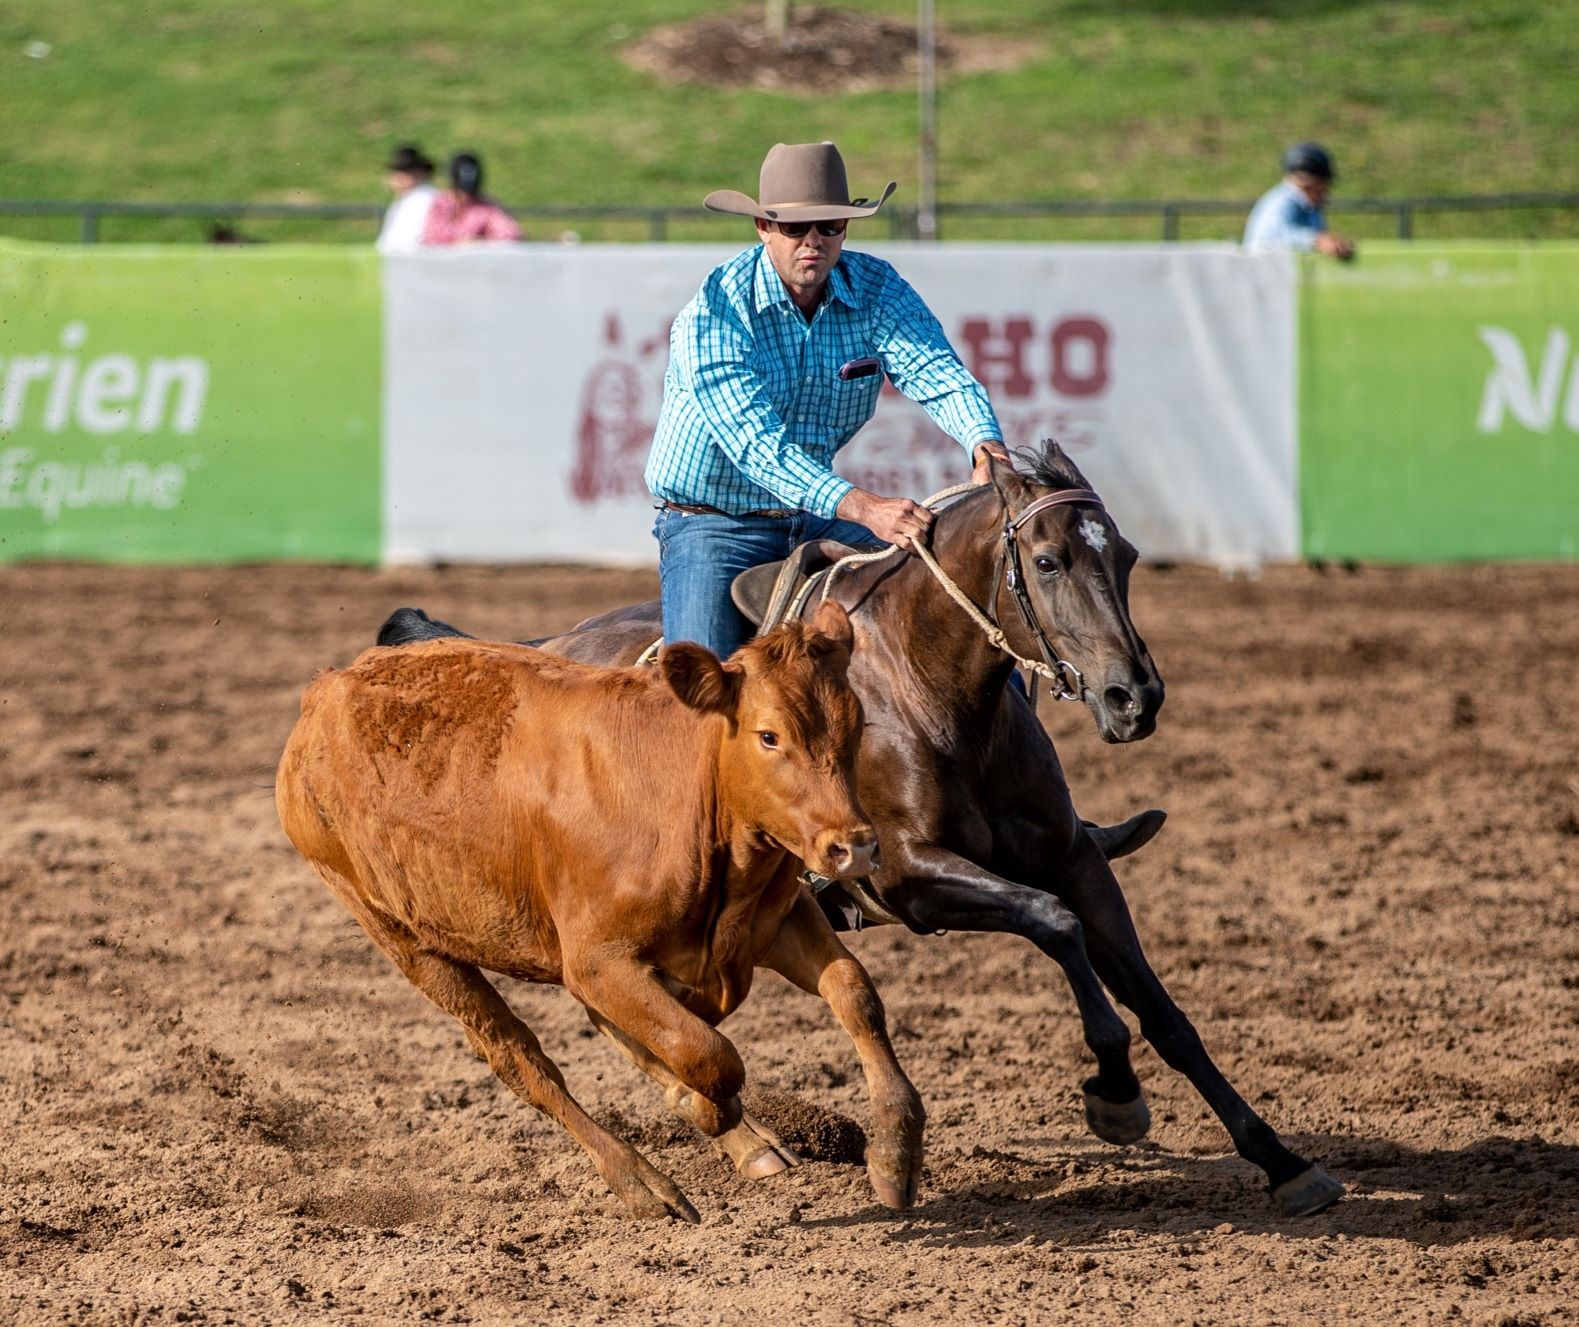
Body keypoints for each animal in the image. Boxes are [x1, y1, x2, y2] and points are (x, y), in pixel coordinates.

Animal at [275, 600, 924, 1221]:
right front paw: (705, 1108)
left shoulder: (777, 922)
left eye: (856, 723)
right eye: (769, 736)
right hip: (404, 938)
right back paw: (643, 1182)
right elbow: (708, 1054)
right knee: (522, 1060)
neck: (688, 797)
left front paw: (896, 1149)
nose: (854, 846)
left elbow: (853, 993)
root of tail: (327, 688)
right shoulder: (598, 962)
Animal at [380, 441, 1344, 1217]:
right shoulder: (909, 877)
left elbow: (1161, 1008)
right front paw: (1112, 1090)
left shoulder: (1075, 858)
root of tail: (544, 644)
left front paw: (1283, 1162)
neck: (927, 689)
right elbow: (1054, 925)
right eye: (1046, 559)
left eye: (1131, 555)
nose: (1132, 698)